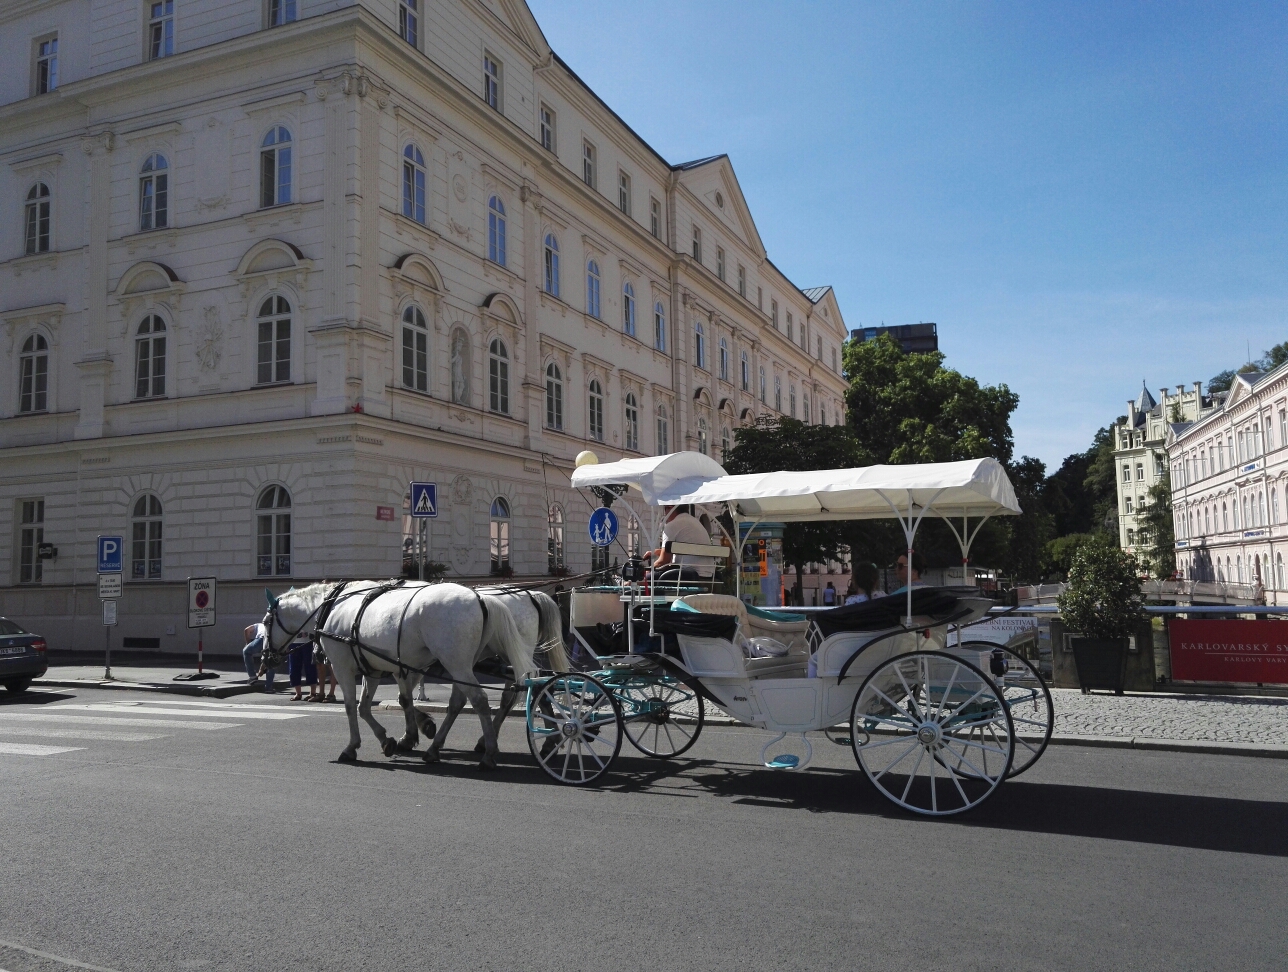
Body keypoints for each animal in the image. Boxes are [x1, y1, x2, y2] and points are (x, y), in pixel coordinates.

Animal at [261, 581, 533, 772]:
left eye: (265, 622)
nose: (265, 659)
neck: (332, 606)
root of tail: (480, 597)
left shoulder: (343, 667)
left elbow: (350, 706)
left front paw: (352, 746)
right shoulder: (372, 669)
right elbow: (366, 707)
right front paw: (389, 739)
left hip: (456, 664)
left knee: (479, 701)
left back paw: (488, 753)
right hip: (462, 666)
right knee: (459, 702)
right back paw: (435, 748)